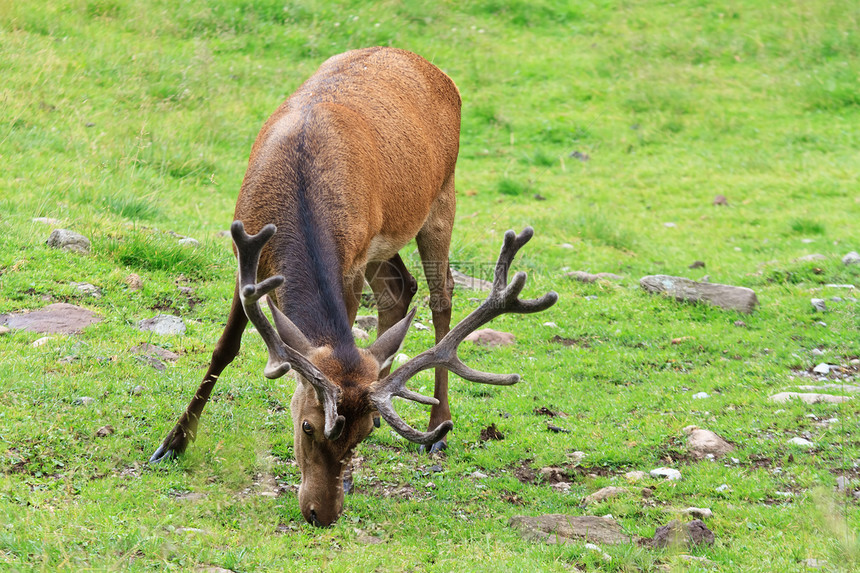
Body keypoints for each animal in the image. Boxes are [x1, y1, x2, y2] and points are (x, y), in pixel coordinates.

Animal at [149, 47, 556, 524]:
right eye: (307, 425)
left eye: (358, 435)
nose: (322, 514)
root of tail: (426, 63)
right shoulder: (244, 251)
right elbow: (225, 348)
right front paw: (172, 443)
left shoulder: (353, 260)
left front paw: (350, 477)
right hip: (388, 237)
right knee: (401, 287)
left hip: (442, 196)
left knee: (442, 293)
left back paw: (438, 427)